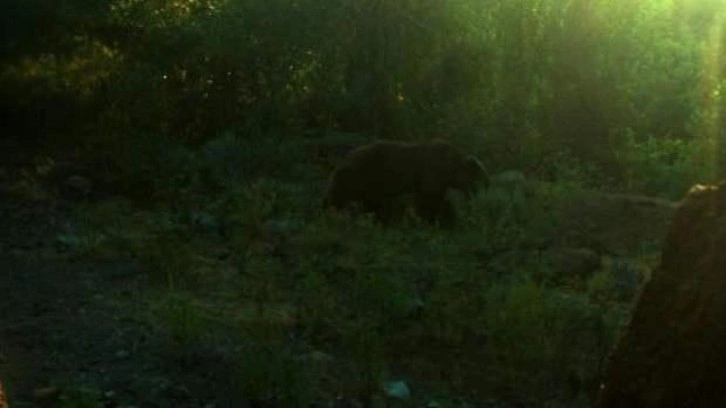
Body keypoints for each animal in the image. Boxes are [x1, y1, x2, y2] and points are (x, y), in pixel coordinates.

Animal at [324, 139, 490, 225]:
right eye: (481, 179)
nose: (487, 186)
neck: (451, 169)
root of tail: (344, 157)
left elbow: (439, 201)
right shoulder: (432, 174)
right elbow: (430, 201)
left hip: (368, 182)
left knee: (371, 203)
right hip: (358, 175)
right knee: (336, 197)